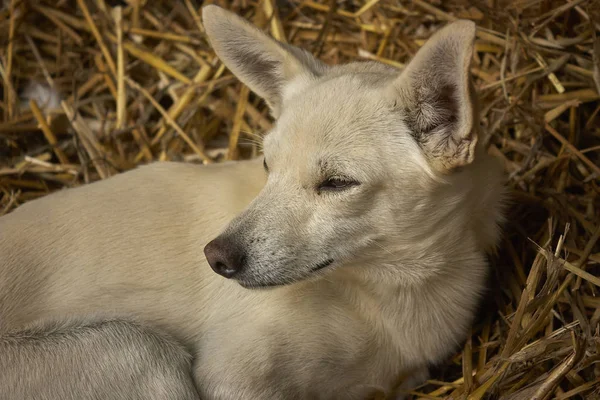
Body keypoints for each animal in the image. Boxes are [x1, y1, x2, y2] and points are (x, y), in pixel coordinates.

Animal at [0, 7, 506, 400]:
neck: (393, 290)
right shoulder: (231, 377)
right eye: (267, 165)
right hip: (136, 348)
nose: (215, 257)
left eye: (337, 183)